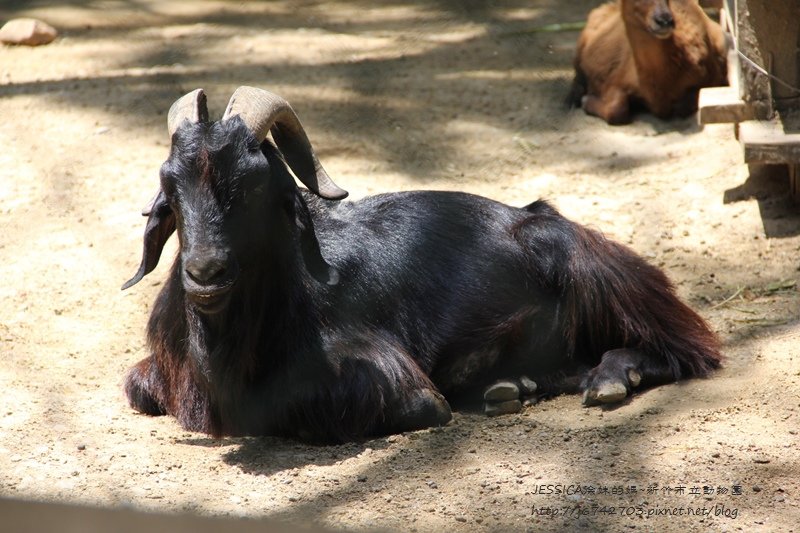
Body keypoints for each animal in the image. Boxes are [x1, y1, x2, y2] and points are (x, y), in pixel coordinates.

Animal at [122, 86, 720, 440]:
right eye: (170, 187)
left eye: (254, 185)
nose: (205, 273)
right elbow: (137, 387)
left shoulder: (393, 379)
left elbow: (399, 406)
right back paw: (514, 386)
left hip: (592, 266)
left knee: (689, 347)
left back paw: (612, 377)